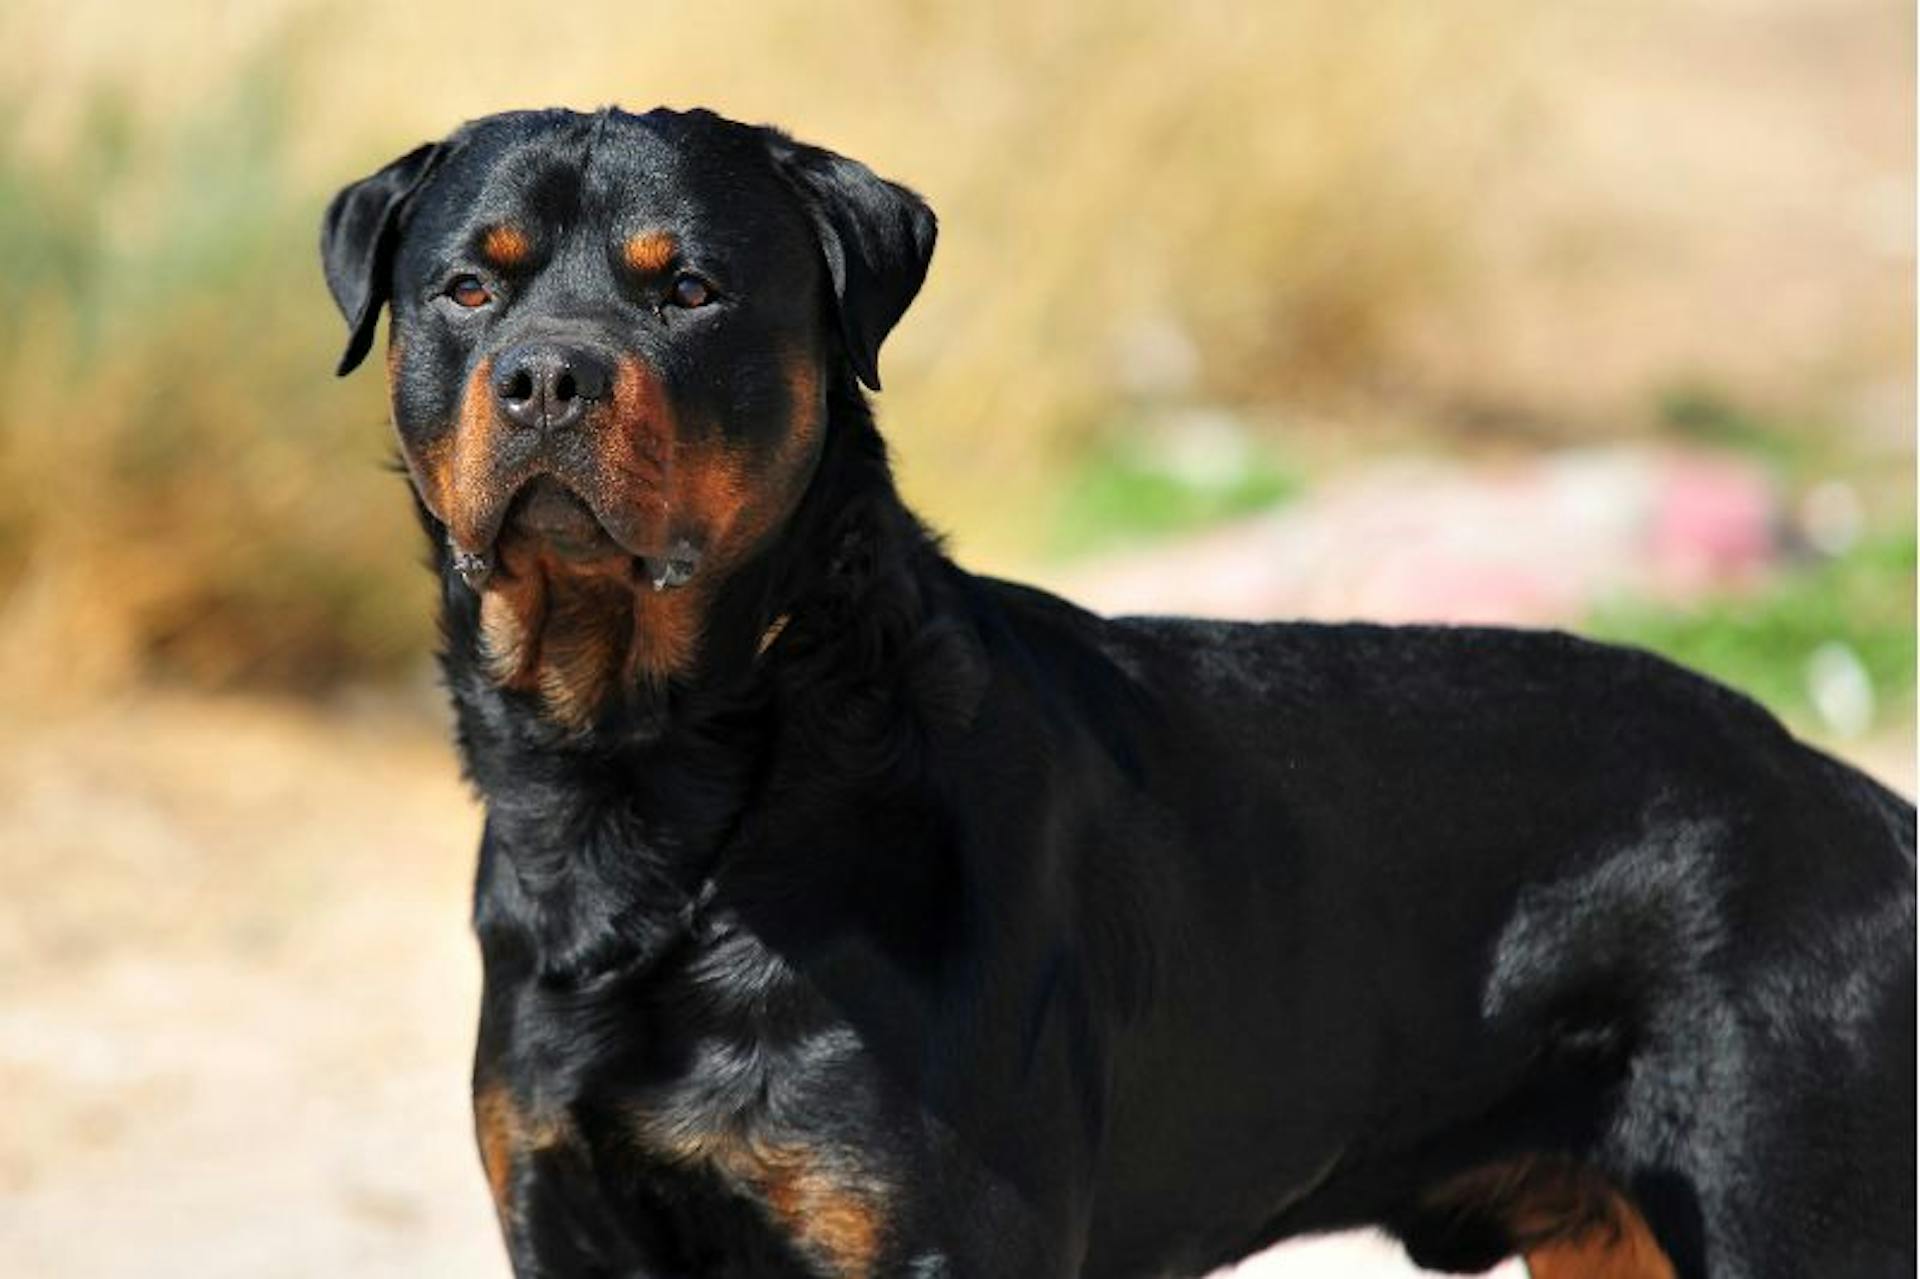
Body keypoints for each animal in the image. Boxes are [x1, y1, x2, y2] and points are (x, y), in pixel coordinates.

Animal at [322, 109, 1912, 1275]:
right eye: (469, 285)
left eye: (690, 289)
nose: (547, 375)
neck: (658, 783)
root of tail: (1861, 805)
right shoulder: (565, 1214)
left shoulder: (934, 1238)